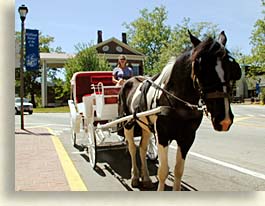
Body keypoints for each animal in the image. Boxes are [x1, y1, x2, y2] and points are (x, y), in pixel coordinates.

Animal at [118, 30, 240, 190]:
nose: (224, 120)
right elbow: (163, 171)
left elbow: (178, 170)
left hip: (144, 126)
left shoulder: (187, 137)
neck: (177, 101)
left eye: (230, 67)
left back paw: (146, 178)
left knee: (143, 148)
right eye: (200, 67)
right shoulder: (162, 135)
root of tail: (130, 80)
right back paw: (134, 177)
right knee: (133, 148)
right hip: (128, 123)